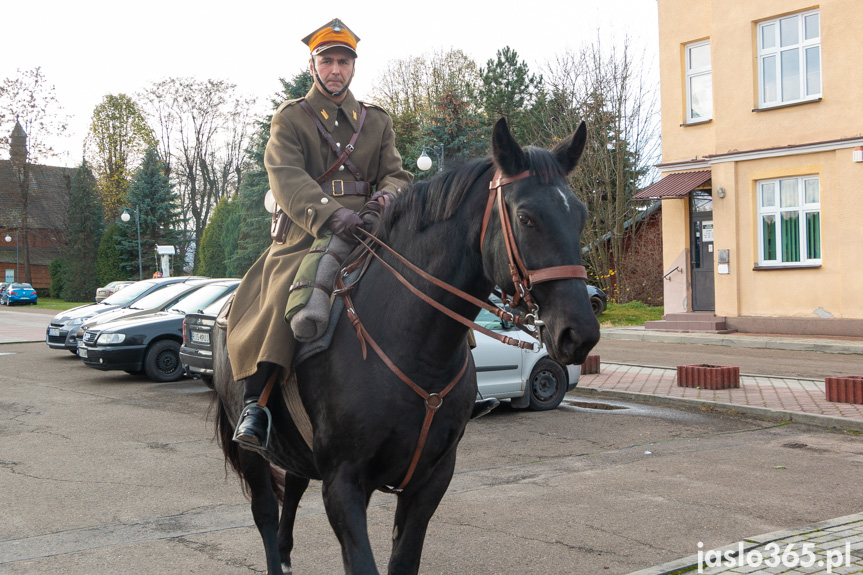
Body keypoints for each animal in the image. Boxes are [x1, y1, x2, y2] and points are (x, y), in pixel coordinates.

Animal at [210, 119, 600, 572]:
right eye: (525, 217)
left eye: (580, 215)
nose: (580, 332)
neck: (415, 348)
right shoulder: (343, 483)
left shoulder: (431, 480)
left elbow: (404, 559)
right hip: (254, 454)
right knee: (266, 515)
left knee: (290, 496)